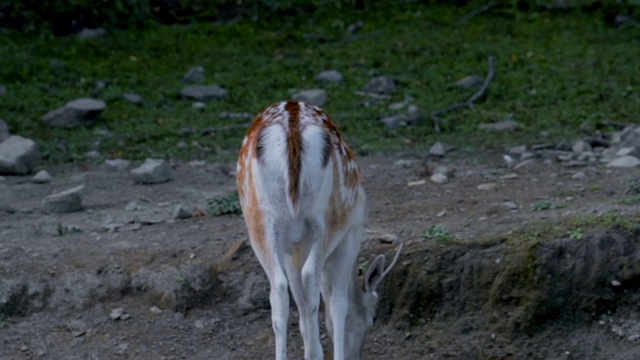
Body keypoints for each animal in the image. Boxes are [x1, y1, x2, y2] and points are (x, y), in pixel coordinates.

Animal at [238, 100, 402, 360]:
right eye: (373, 318)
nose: (357, 357)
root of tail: (292, 125)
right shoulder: (351, 234)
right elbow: (338, 304)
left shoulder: (292, 250)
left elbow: (302, 305)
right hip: (327, 221)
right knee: (310, 276)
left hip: (259, 224)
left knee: (279, 290)